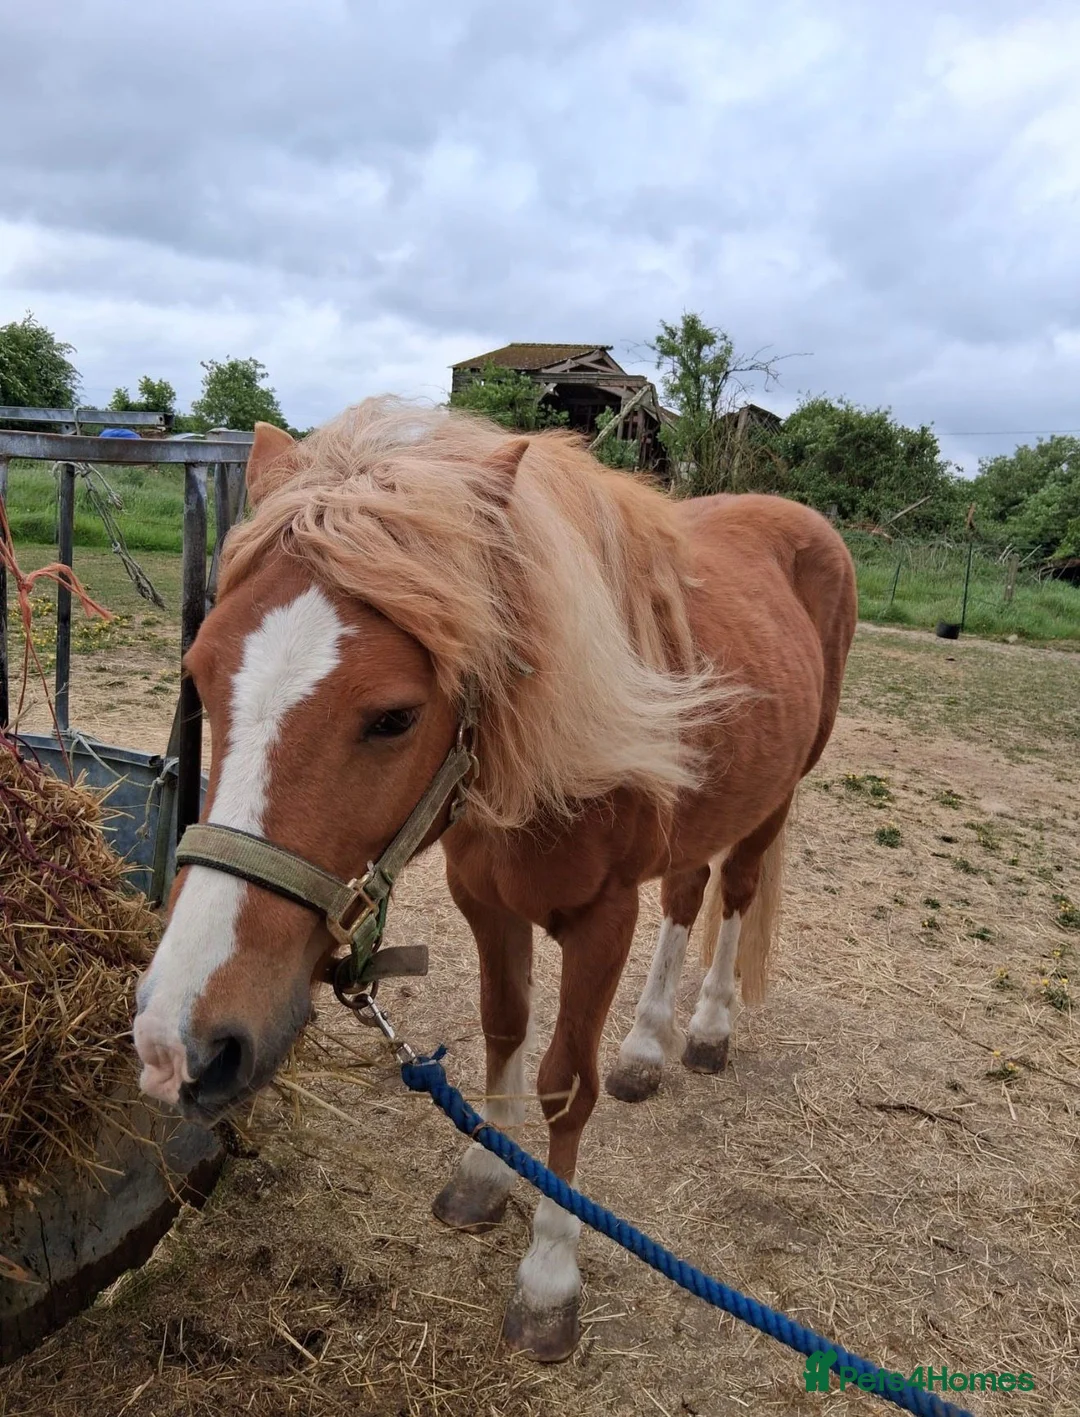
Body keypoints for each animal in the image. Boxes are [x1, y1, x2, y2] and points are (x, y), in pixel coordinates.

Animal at [133, 398, 857, 1362]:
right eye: (201, 675)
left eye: (394, 716)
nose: (178, 1039)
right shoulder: (486, 903)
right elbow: (502, 1030)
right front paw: (485, 1170)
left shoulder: (601, 921)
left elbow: (563, 1083)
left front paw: (549, 1275)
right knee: (687, 894)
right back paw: (646, 1045)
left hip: (777, 795)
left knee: (733, 894)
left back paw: (704, 1030)